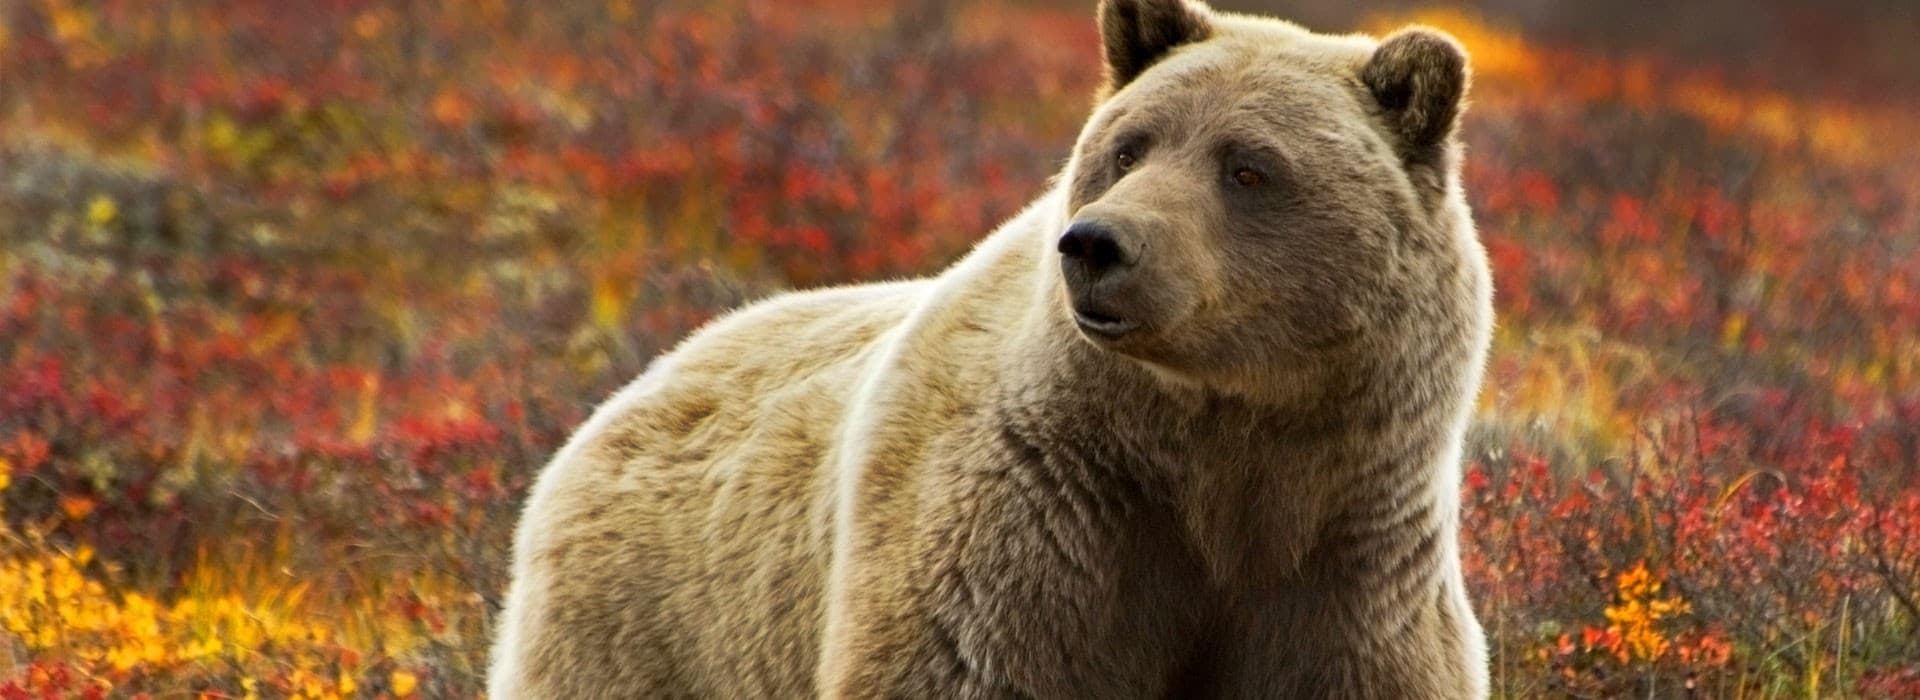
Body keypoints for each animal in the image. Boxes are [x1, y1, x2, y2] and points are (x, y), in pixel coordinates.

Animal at [488, 0, 1493, 697]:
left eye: (1249, 167)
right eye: (1129, 147)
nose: (1097, 244)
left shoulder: (1345, 563)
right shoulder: (1038, 528)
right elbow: (966, 660)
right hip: (651, 622)